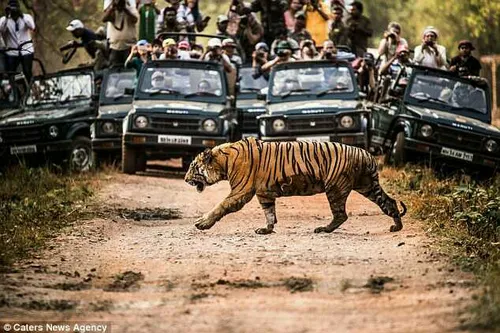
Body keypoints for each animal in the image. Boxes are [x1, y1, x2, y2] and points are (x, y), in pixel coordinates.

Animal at [184, 136, 406, 235]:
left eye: (193, 167)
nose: (185, 180)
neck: (223, 161)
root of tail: (366, 154)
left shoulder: (240, 191)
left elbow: (220, 206)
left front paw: (202, 223)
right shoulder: (264, 193)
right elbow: (269, 212)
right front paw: (267, 229)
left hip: (335, 188)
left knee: (341, 214)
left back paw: (323, 229)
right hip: (367, 185)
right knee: (390, 202)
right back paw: (396, 226)